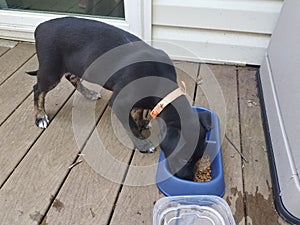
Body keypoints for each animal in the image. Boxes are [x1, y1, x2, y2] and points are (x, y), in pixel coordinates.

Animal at [27, 16, 211, 180]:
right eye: (184, 159)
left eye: (198, 158)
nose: (188, 178)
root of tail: (40, 27)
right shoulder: (118, 103)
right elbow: (131, 126)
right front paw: (143, 144)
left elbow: (138, 111)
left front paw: (142, 122)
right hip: (51, 71)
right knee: (38, 90)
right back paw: (40, 116)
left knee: (71, 77)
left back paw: (89, 93)